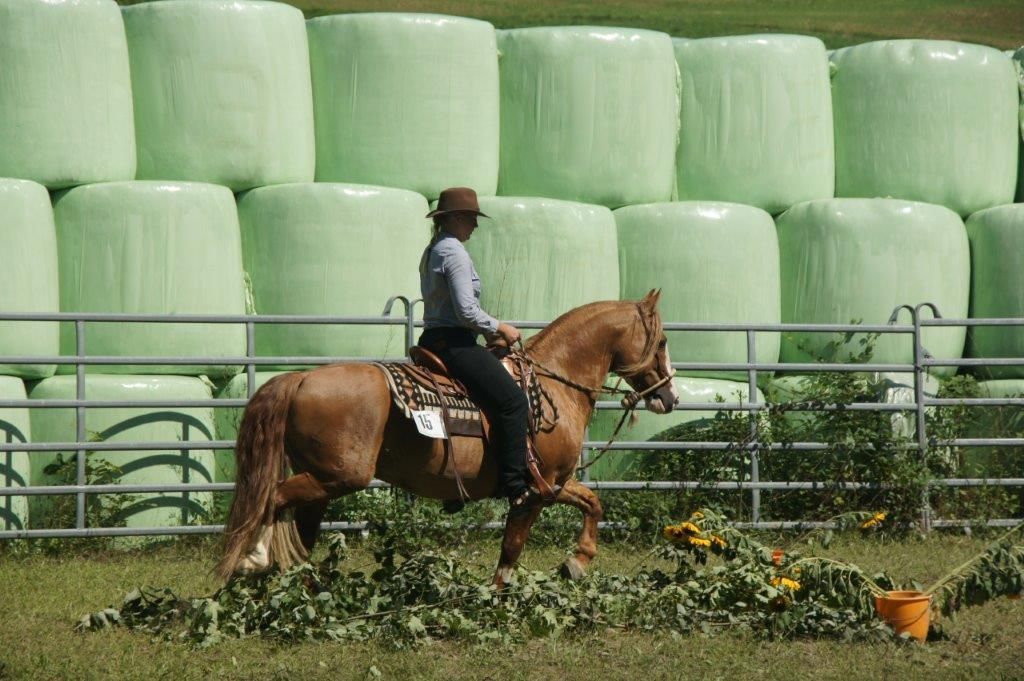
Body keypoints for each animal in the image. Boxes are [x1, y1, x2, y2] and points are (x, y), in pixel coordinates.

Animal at [216, 290, 679, 585]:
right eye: (662, 340)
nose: (670, 397)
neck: (552, 385)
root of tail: (300, 378)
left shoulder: (555, 483)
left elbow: (593, 502)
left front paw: (577, 563)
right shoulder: (534, 491)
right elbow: (511, 551)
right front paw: (500, 599)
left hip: (321, 483)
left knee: (297, 526)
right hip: (338, 478)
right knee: (272, 498)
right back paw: (254, 559)